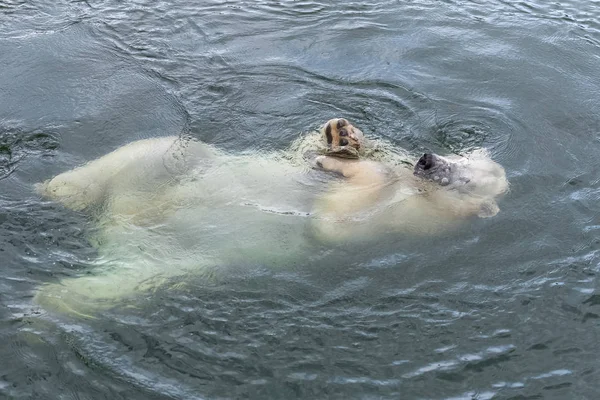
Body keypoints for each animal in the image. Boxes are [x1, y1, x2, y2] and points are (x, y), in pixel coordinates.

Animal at [35, 119, 508, 316]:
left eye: (466, 178)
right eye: (456, 156)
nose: (426, 160)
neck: (414, 189)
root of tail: (117, 224)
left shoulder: (401, 222)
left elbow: (332, 225)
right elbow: (307, 156)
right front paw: (342, 136)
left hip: (177, 260)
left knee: (122, 282)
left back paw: (48, 303)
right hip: (168, 168)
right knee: (154, 149)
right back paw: (56, 189)